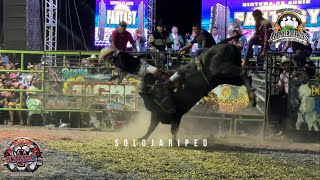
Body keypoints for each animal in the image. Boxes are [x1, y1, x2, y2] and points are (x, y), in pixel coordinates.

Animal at [99, 44, 256, 145]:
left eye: (168, 94)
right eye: (159, 96)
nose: (172, 108)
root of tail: (230, 46)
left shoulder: (177, 114)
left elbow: (172, 129)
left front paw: (173, 142)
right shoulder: (160, 115)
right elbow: (152, 127)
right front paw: (142, 138)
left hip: (224, 69)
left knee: (243, 72)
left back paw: (253, 99)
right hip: (226, 77)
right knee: (246, 76)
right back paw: (252, 96)